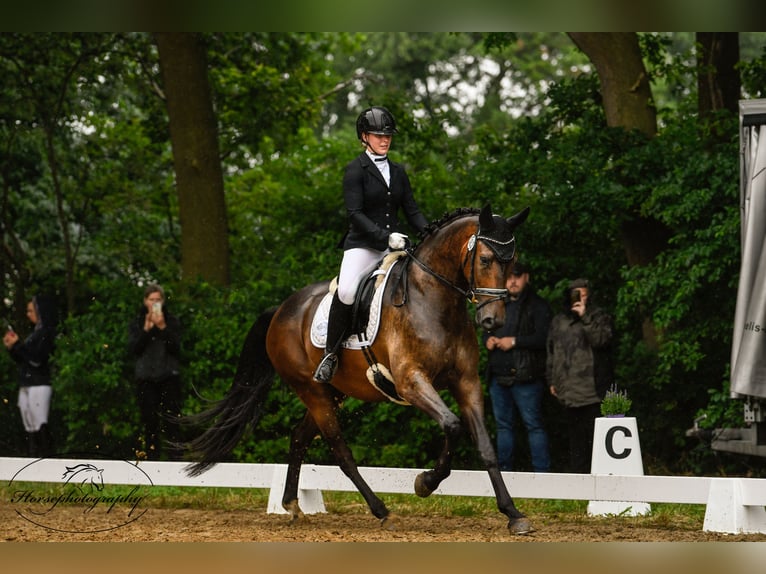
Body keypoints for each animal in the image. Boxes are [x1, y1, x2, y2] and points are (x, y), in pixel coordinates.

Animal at [184, 203, 534, 535]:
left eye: (512, 261)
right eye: (485, 259)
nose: (493, 321)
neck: (433, 300)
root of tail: (282, 309)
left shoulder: (466, 382)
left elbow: (485, 446)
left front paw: (513, 515)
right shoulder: (411, 382)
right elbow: (453, 426)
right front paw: (424, 483)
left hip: (331, 393)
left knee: (299, 437)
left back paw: (293, 505)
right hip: (312, 390)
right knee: (341, 452)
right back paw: (381, 512)